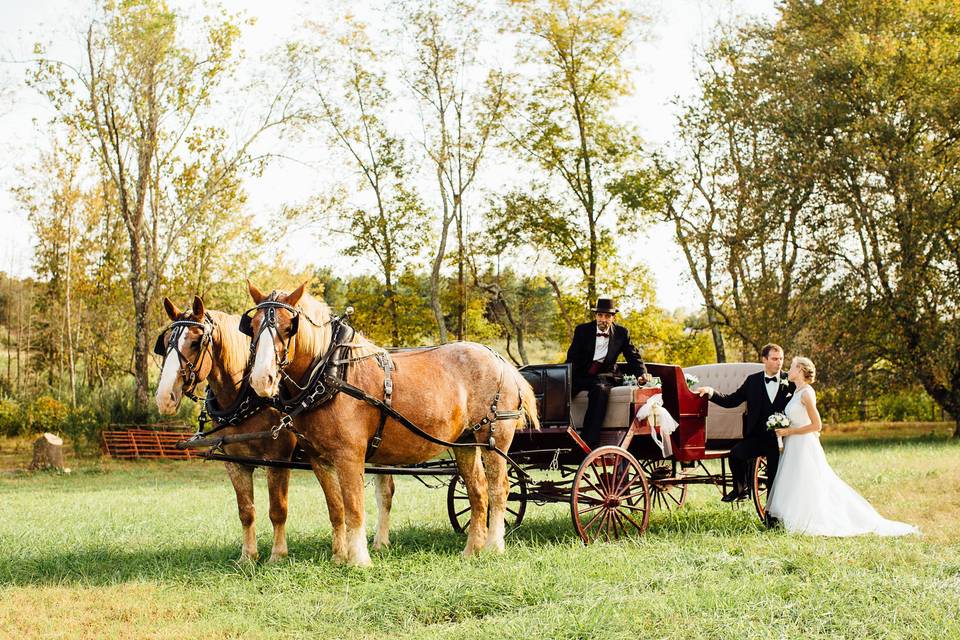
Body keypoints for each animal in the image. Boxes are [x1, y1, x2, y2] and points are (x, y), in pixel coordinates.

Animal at [244, 282, 536, 568]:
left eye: (287, 328)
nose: (261, 379)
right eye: (253, 327)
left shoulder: (350, 455)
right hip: (465, 442)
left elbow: (354, 507)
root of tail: (502, 362)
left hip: (494, 438)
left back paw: (494, 546)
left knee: (499, 489)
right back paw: (471, 550)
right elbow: (336, 508)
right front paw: (339, 557)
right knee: (478, 490)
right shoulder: (319, 459)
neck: (331, 372)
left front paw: (359, 560)